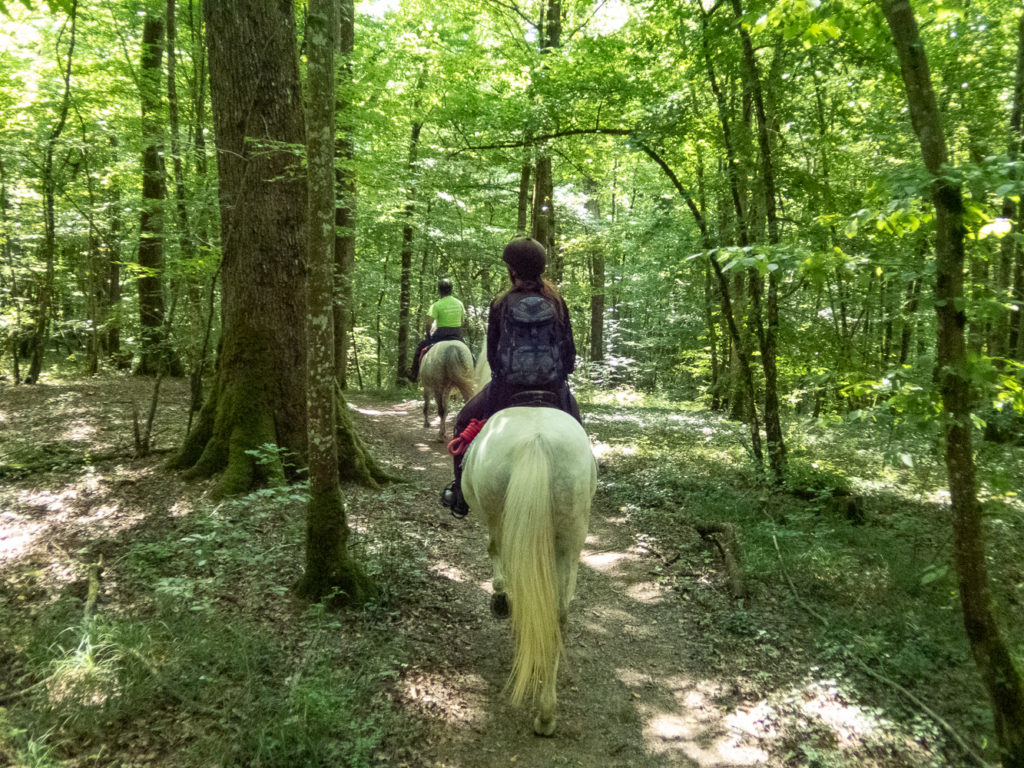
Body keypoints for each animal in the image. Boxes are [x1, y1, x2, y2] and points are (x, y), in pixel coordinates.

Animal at [462, 342, 598, 733]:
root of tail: (536, 441)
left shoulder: (495, 524)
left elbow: (492, 551)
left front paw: (499, 598)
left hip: (503, 516)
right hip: (571, 538)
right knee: (559, 612)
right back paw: (547, 712)